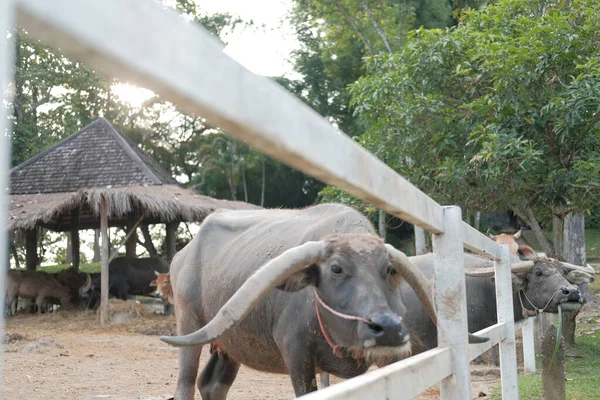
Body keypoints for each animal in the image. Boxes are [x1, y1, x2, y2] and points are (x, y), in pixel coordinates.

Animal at [158, 205, 488, 398]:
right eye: (336, 269)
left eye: (389, 269)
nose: (389, 328)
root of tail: (181, 256)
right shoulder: (297, 357)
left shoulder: (390, 359)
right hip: (189, 324)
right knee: (186, 382)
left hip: (230, 343)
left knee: (213, 384)